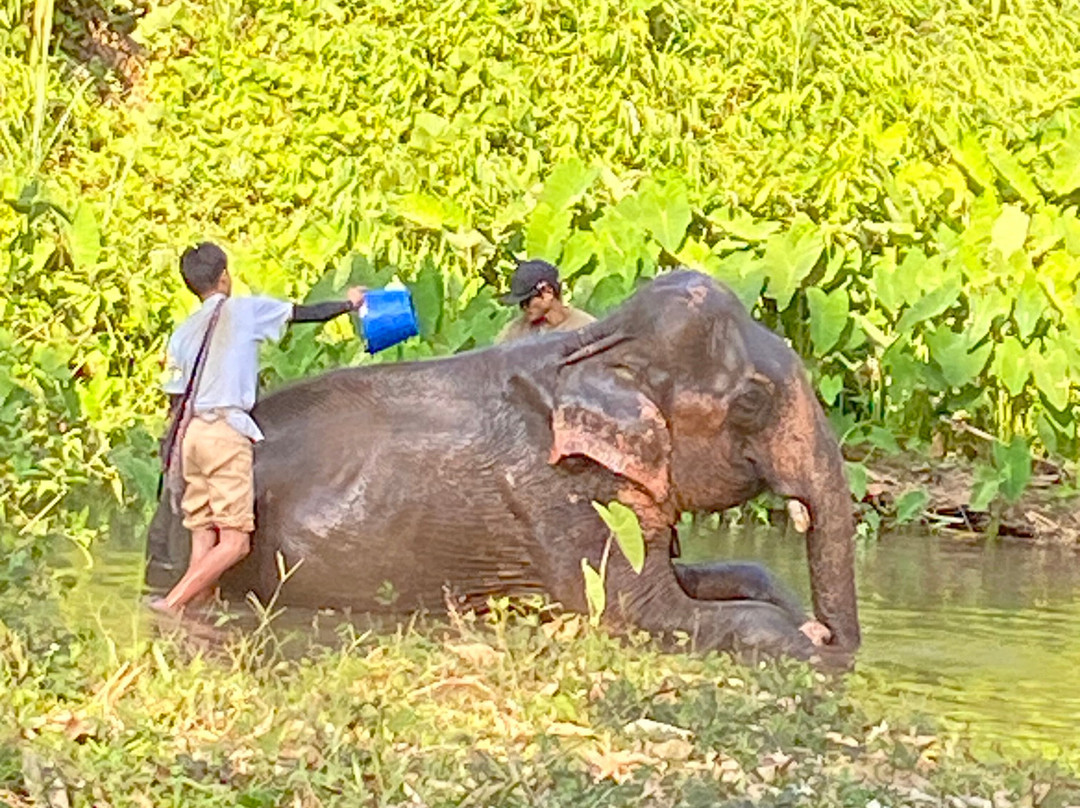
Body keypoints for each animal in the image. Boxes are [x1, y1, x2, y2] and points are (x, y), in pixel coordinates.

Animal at [146, 269, 860, 660]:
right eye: (752, 401)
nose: (834, 635)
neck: (595, 348)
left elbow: (732, 573)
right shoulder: (558, 495)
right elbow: (643, 613)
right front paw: (814, 651)